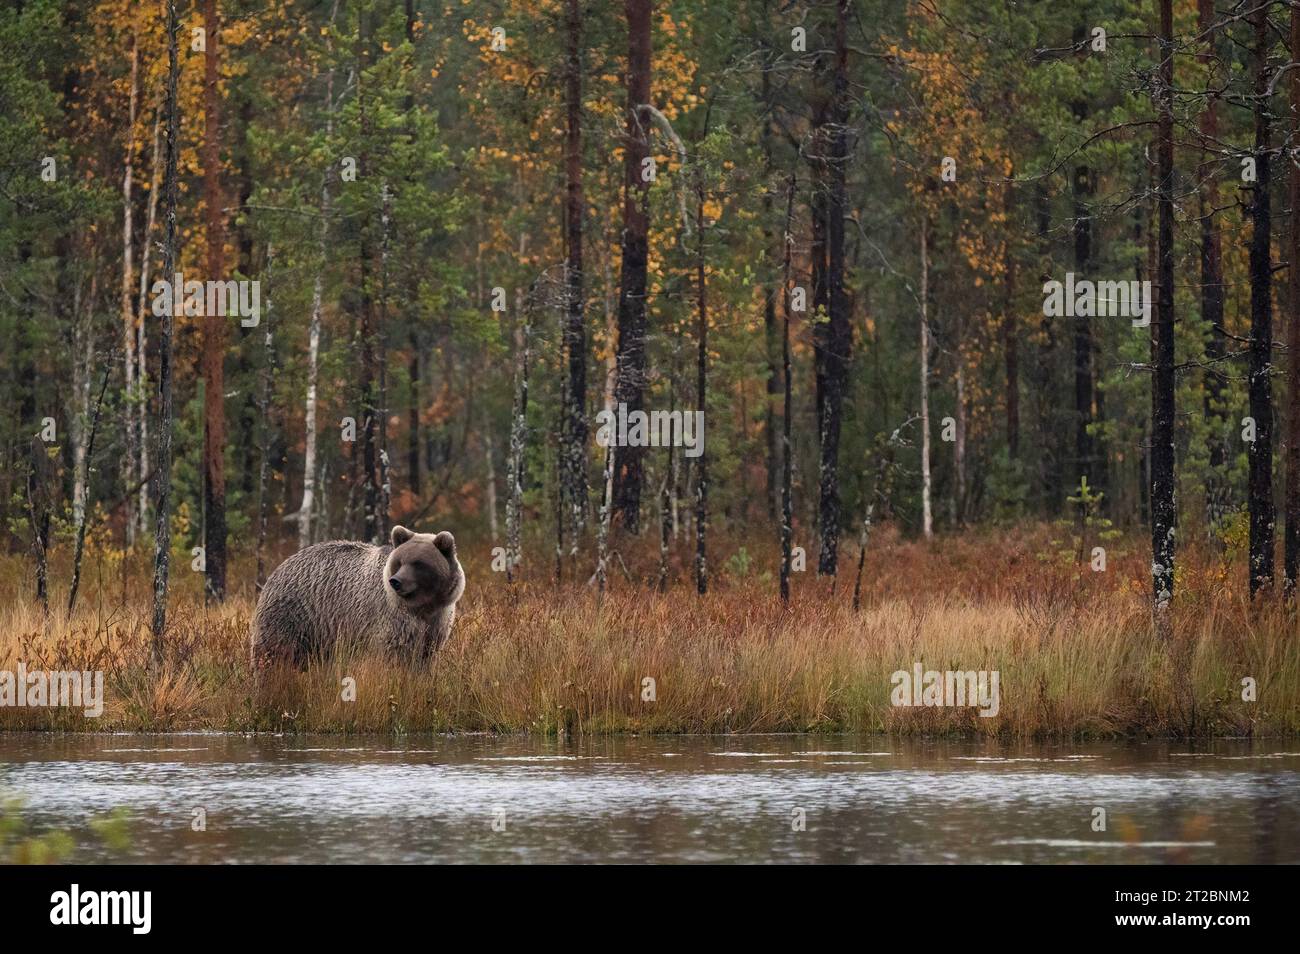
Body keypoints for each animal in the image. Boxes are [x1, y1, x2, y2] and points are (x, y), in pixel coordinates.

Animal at [248, 527, 462, 670]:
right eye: (399, 562)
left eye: (418, 563)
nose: (396, 581)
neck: (424, 607)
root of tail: (280, 566)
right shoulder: (392, 621)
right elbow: (394, 655)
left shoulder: (437, 623)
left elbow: (426, 657)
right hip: (294, 616)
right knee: (274, 653)